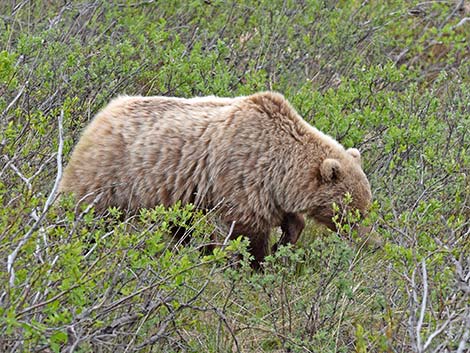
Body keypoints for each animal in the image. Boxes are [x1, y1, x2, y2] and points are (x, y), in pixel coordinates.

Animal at [59, 92, 370, 266]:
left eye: (367, 207)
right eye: (353, 213)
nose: (372, 242)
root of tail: (105, 111)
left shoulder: (274, 191)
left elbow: (292, 221)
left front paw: (284, 244)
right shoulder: (243, 176)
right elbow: (248, 232)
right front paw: (255, 263)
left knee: (180, 226)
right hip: (109, 172)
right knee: (85, 209)